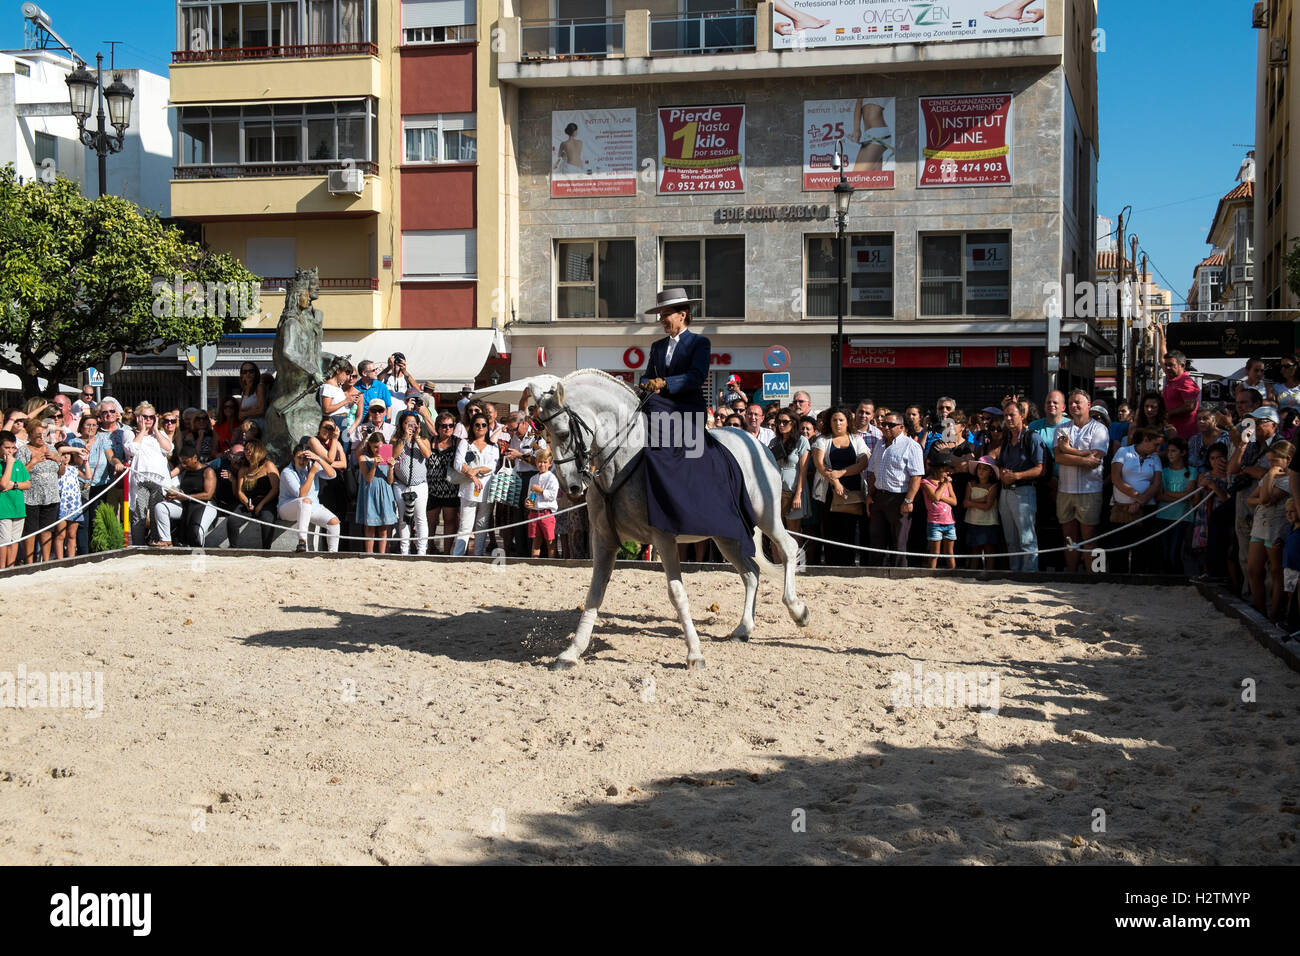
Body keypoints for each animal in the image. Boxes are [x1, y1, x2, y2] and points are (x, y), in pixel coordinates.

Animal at [483, 369, 806, 671]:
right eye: (545, 434)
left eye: (562, 433)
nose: (572, 487)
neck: (623, 460)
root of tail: (756, 444)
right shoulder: (604, 539)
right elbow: (594, 592)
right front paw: (571, 652)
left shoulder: (663, 538)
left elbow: (677, 592)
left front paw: (694, 654)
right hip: (725, 535)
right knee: (751, 572)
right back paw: (743, 628)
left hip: (766, 516)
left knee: (788, 549)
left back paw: (797, 610)